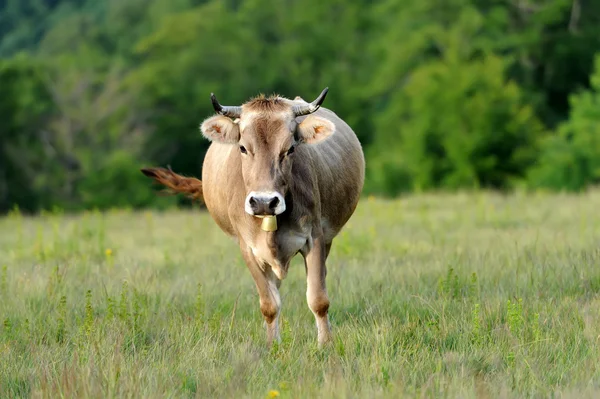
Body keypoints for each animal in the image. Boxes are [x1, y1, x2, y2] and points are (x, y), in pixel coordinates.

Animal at [142, 88, 366, 346]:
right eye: (242, 148)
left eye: (290, 148)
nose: (264, 202)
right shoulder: (247, 248)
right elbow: (269, 304)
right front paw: (272, 345)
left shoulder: (316, 238)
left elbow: (318, 299)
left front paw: (325, 344)